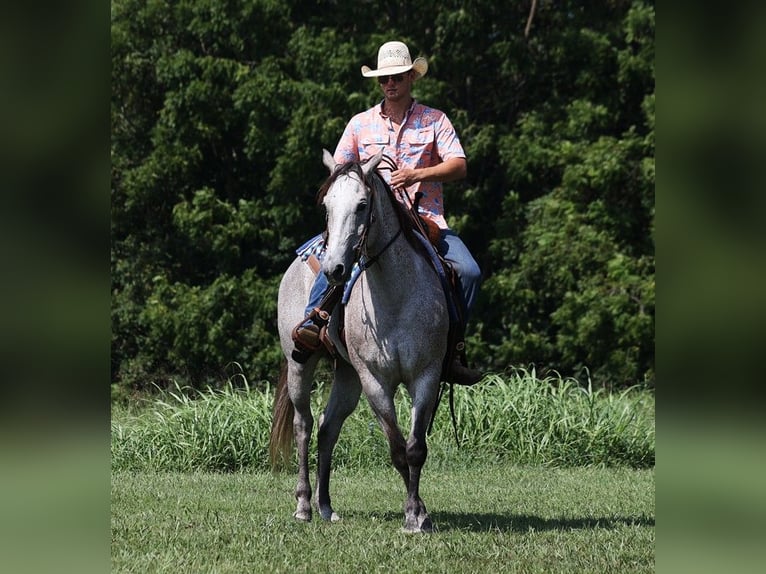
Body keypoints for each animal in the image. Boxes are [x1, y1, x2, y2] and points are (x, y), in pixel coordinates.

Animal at [270, 150, 450, 536]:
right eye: (327, 205)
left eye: (363, 205)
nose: (334, 270)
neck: (395, 297)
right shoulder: (374, 381)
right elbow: (397, 449)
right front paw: (412, 515)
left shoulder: (425, 376)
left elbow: (415, 448)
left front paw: (420, 515)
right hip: (301, 365)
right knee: (304, 426)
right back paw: (304, 505)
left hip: (347, 373)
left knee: (328, 427)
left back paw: (325, 506)